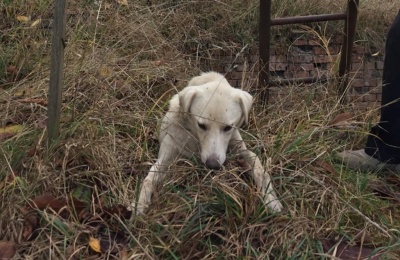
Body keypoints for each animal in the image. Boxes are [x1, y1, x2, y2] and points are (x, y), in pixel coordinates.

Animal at [133, 70, 282, 213]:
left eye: (228, 127)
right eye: (201, 125)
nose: (212, 165)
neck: (194, 137)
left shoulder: (241, 150)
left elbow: (260, 168)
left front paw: (271, 199)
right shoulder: (165, 159)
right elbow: (148, 180)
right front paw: (138, 206)